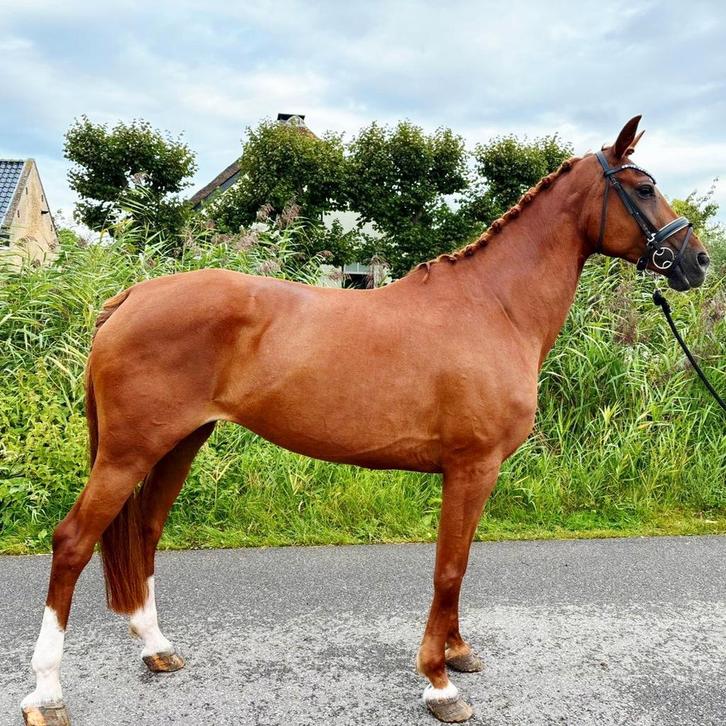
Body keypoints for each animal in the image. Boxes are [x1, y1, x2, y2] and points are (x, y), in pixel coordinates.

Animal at [20, 116, 710, 724]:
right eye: (642, 188)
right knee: (73, 542)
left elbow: (459, 565)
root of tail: (131, 296)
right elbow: (449, 567)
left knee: (145, 534)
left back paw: (156, 648)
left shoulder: (472, 474)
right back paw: (47, 694)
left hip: (178, 444)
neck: (494, 308)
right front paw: (439, 684)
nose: (697, 260)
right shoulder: (472, 467)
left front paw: (458, 654)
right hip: (128, 452)